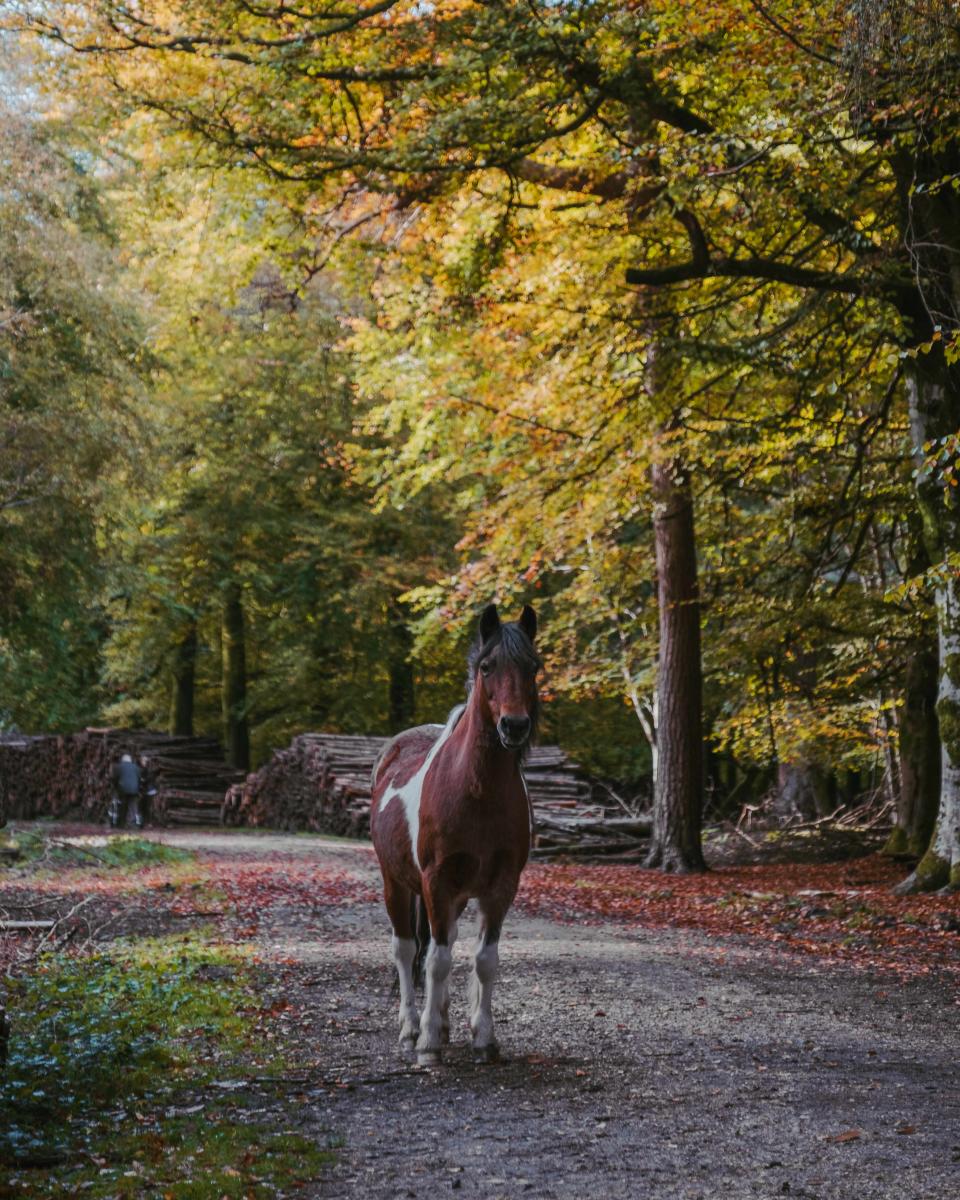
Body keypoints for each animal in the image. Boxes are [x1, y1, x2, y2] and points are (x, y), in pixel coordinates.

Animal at [370, 602, 540, 1066]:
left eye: (533, 667)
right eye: (486, 666)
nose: (514, 726)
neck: (475, 789)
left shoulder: (501, 886)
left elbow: (485, 959)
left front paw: (484, 1038)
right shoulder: (436, 881)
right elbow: (437, 959)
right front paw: (428, 1044)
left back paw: (444, 1021)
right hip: (397, 884)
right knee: (408, 949)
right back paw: (413, 1027)